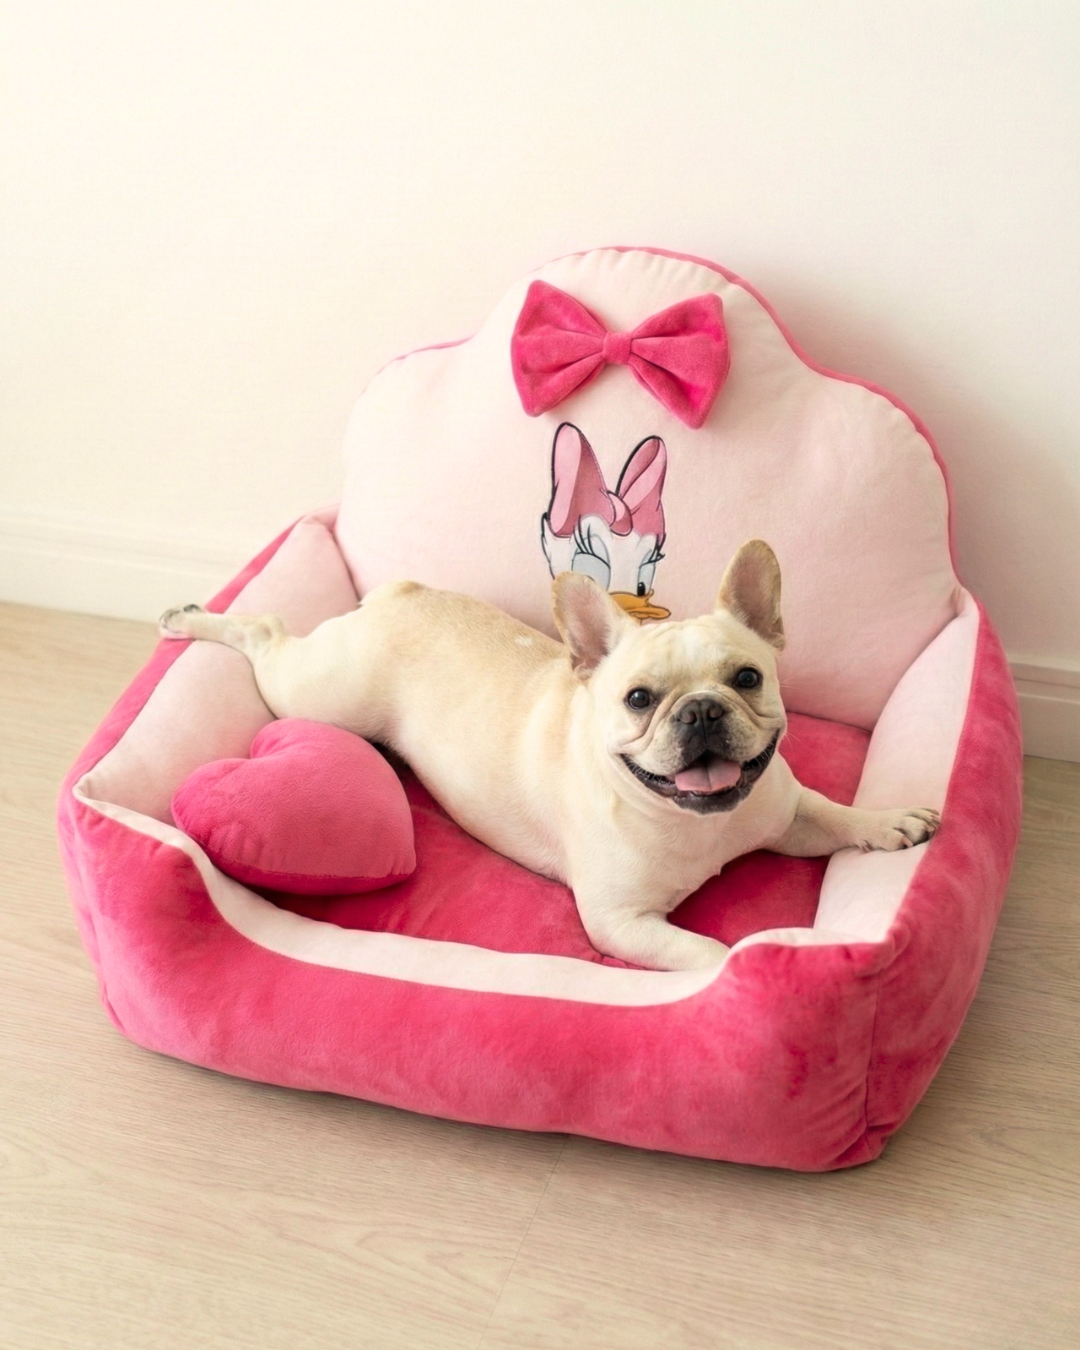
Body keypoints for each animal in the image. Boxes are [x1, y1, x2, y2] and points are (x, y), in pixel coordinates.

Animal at [160, 540, 939, 971]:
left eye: (747, 678)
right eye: (638, 699)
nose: (701, 710)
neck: (697, 822)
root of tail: (399, 594)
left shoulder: (785, 809)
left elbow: (833, 813)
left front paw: (888, 822)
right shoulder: (622, 924)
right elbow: (704, 953)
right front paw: (735, 975)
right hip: (315, 697)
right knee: (265, 630)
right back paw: (190, 619)